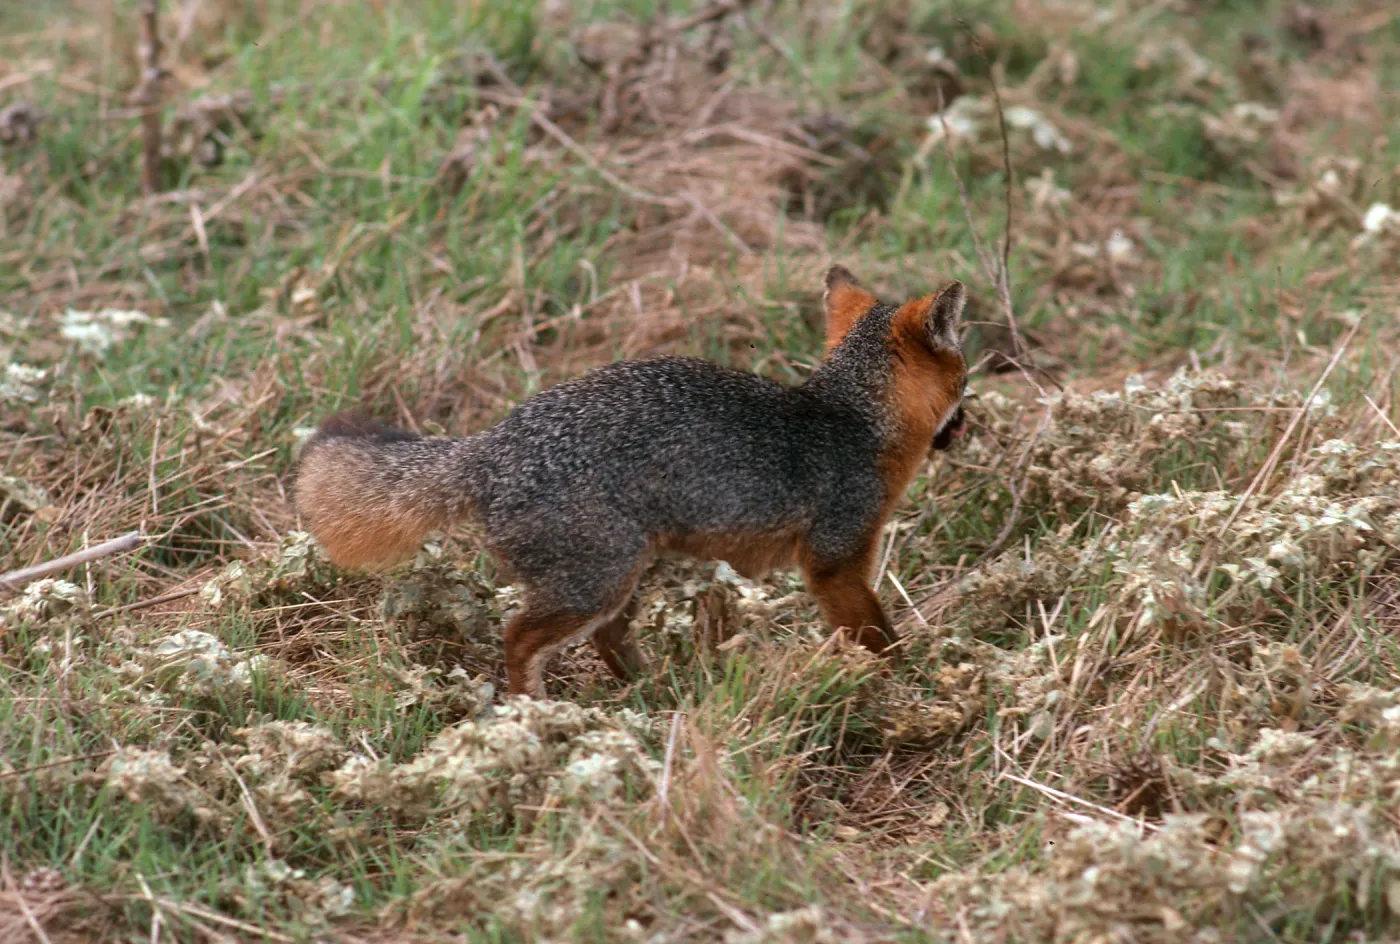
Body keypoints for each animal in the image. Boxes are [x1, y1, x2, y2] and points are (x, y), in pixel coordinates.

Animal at [294, 266, 968, 698]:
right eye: (966, 379)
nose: (968, 425)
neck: (850, 419)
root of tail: (490, 446)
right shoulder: (835, 562)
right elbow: (880, 640)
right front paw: (912, 688)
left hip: (623, 578)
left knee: (607, 640)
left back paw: (654, 694)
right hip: (597, 583)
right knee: (519, 637)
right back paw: (538, 718)